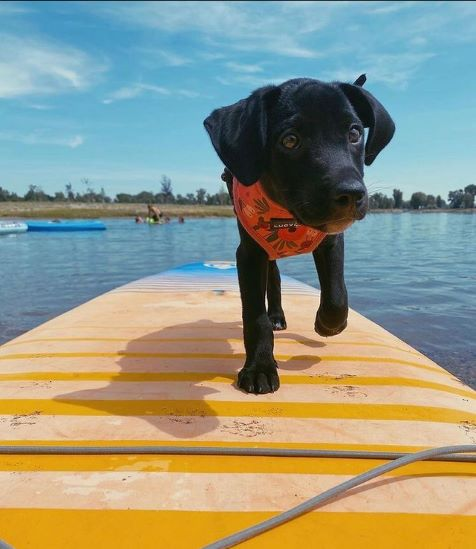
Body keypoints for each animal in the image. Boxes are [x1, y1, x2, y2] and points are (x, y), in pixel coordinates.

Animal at [205, 76, 394, 394]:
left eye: (355, 133)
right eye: (290, 140)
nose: (351, 194)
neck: (288, 218)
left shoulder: (331, 241)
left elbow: (336, 294)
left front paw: (329, 324)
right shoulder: (249, 253)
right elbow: (254, 316)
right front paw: (259, 368)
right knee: (274, 280)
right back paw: (275, 318)